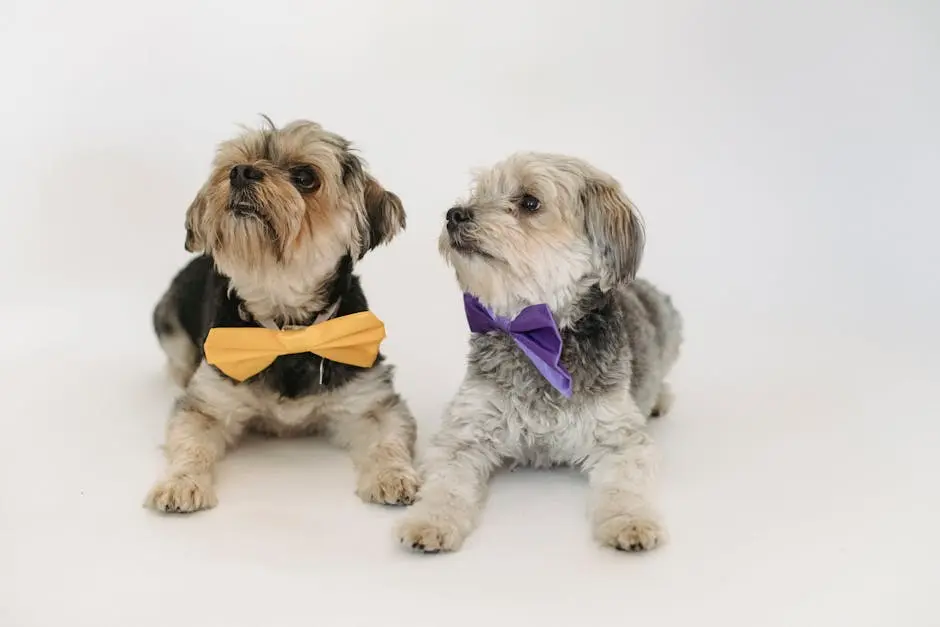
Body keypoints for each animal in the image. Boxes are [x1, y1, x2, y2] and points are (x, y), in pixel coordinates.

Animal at [396, 152, 684, 556]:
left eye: (530, 202)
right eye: (479, 192)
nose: (455, 214)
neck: (538, 335)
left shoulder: (620, 438)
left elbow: (623, 487)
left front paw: (631, 522)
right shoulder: (464, 432)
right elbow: (445, 485)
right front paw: (429, 522)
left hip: (671, 324)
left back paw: (660, 397)